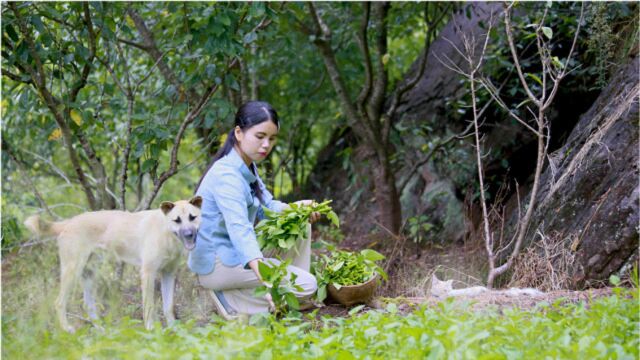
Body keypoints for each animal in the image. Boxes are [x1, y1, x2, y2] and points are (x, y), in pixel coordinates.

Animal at [24, 197, 200, 332]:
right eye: (177, 220)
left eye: (192, 217)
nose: (189, 234)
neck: (166, 231)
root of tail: (69, 222)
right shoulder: (148, 274)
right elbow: (149, 307)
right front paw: (151, 329)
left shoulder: (168, 274)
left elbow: (168, 306)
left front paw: (174, 330)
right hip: (72, 271)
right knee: (59, 303)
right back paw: (67, 330)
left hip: (89, 275)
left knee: (88, 306)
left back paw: (102, 331)